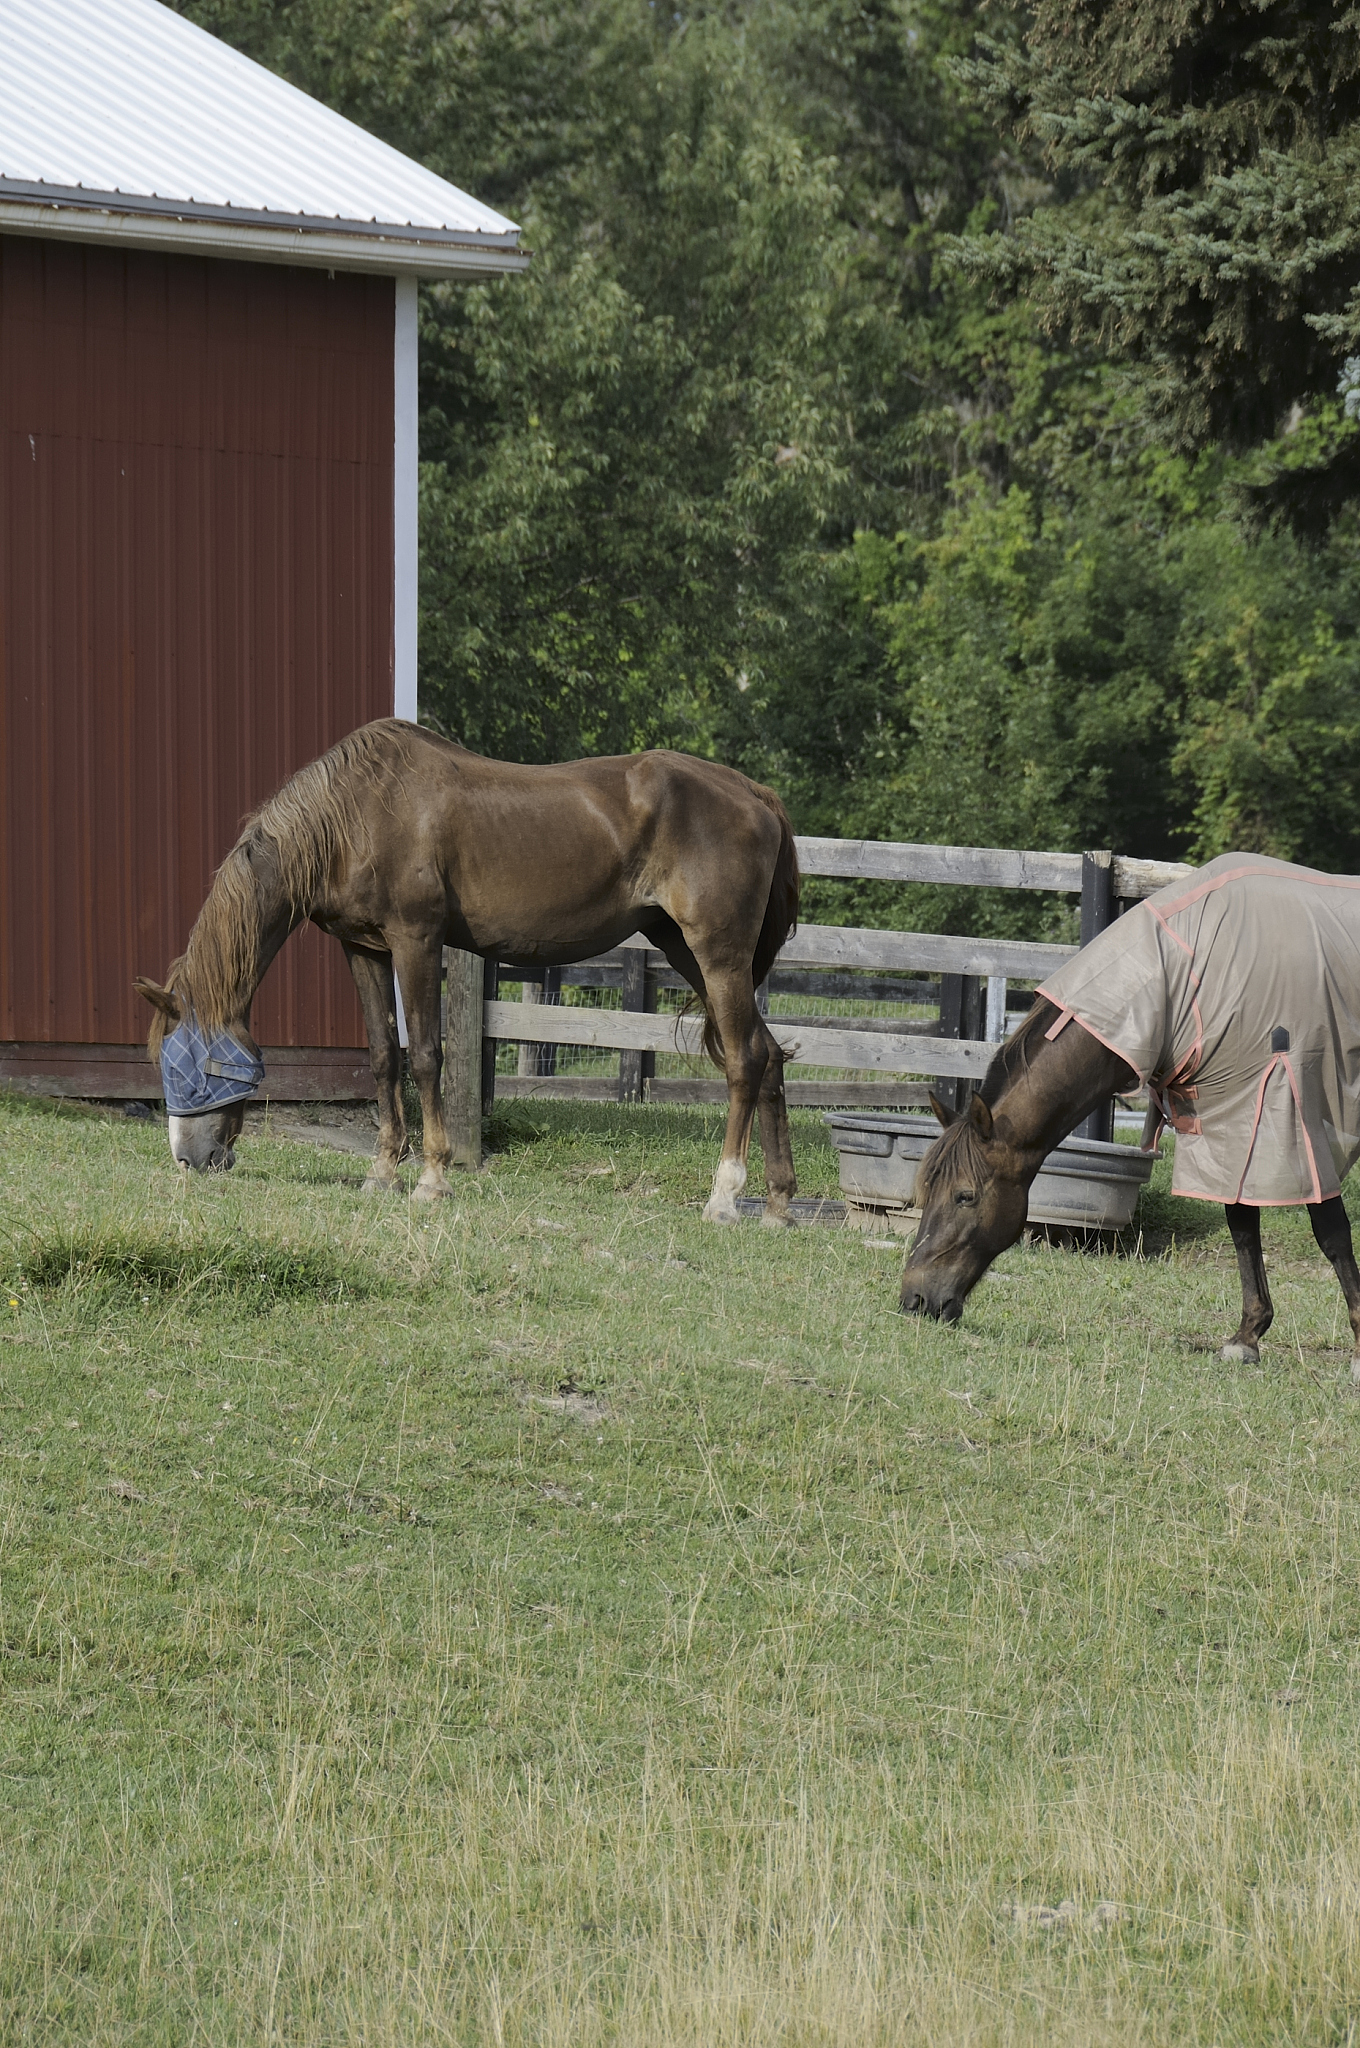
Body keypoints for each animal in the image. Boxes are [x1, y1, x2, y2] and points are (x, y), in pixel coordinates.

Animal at [134, 719, 801, 1222]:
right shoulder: (364, 949)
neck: (358, 813)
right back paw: (777, 1203)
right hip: (688, 952)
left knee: (744, 1061)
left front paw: (432, 1178)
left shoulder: (416, 940)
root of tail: (757, 795)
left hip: (717, 955)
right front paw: (383, 1171)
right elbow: (384, 1056)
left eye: (190, 1065)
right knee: (769, 1056)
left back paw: (724, 1197)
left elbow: (428, 1055)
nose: (188, 1160)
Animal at [899, 854, 1360, 1374]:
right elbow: (1242, 1225)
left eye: (965, 1196)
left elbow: (1331, 1232)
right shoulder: (1231, 1122)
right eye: (925, 1191)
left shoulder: (1297, 1110)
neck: (1184, 976)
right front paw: (1247, 1336)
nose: (915, 1299)